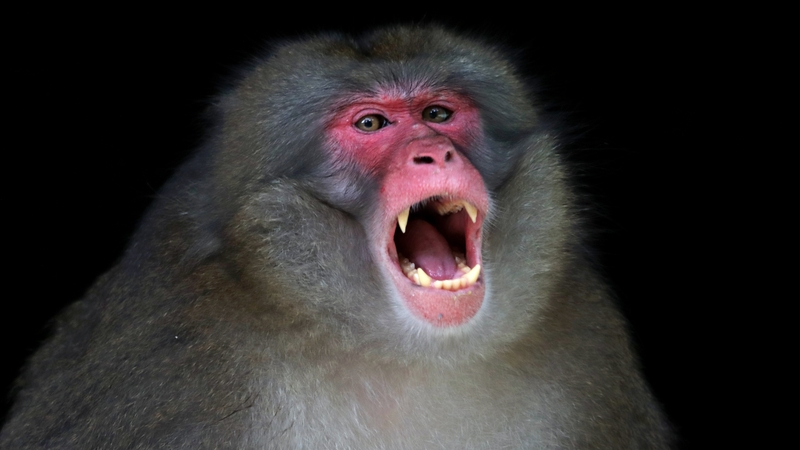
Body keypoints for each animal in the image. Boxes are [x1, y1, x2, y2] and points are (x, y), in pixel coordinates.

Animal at [1, 26, 672, 449]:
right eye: (371, 123)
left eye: (438, 114)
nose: (435, 152)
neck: (402, 354)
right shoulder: (168, 360)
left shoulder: (589, 345)